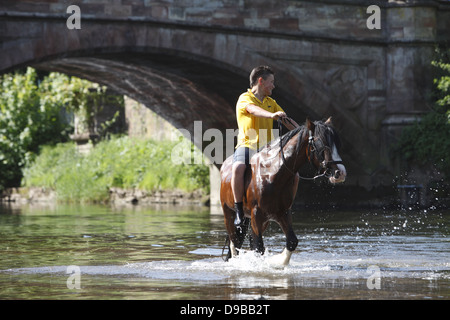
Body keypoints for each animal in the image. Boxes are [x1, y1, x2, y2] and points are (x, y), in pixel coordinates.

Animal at [220, 117, 346, 264]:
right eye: (322, 143)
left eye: (337, 144)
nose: (340, 173)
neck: (272, 173)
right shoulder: (256, 214)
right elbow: (258, 246)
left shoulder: (282, 213)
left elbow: (291, 241)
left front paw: (277, 263)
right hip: (229, 213)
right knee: (234, 241)